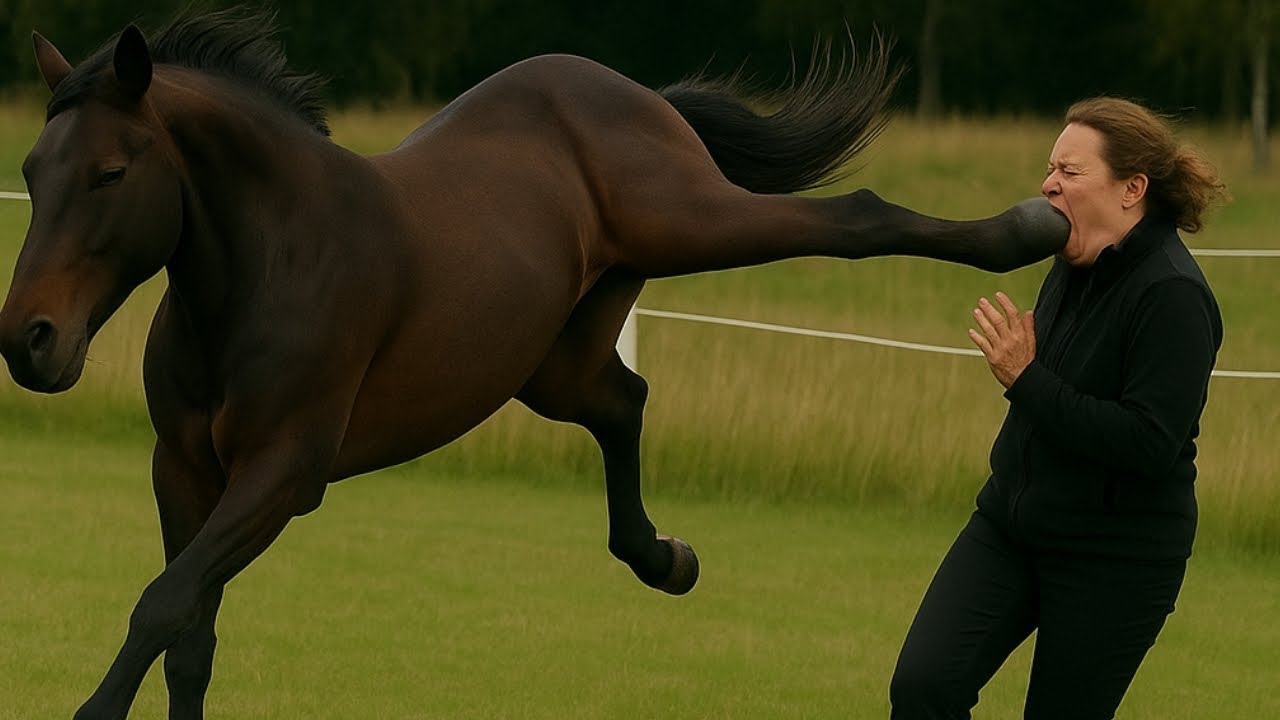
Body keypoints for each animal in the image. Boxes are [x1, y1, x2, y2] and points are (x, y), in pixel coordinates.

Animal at [0, 9, 1068, 719]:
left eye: (110, 172)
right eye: (31, 171)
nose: (28, 340)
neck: (274, 263)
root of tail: (634, 94)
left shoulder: (283, 474)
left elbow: (161, 607)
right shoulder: (185, 469)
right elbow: (190, 635)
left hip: (691, 219)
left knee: (853, 219)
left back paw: (1033, 226)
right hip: (560, 354)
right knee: (624, 400)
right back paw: (665, 559)